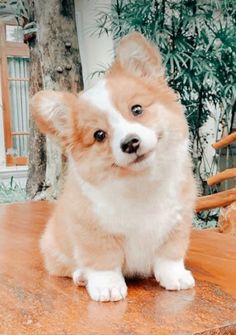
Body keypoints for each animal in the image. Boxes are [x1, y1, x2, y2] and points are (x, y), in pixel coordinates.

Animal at [31, 32, 197, 304]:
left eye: (137, 109)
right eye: (99, 135)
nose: (130, 143)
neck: (140, 184)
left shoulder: (177, 225)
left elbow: (169, 256)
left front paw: (175, 277)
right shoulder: (94, 232)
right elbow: (103, 262)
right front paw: (108, 287)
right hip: (54, 249)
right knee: (68, 268)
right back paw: (81, 276)